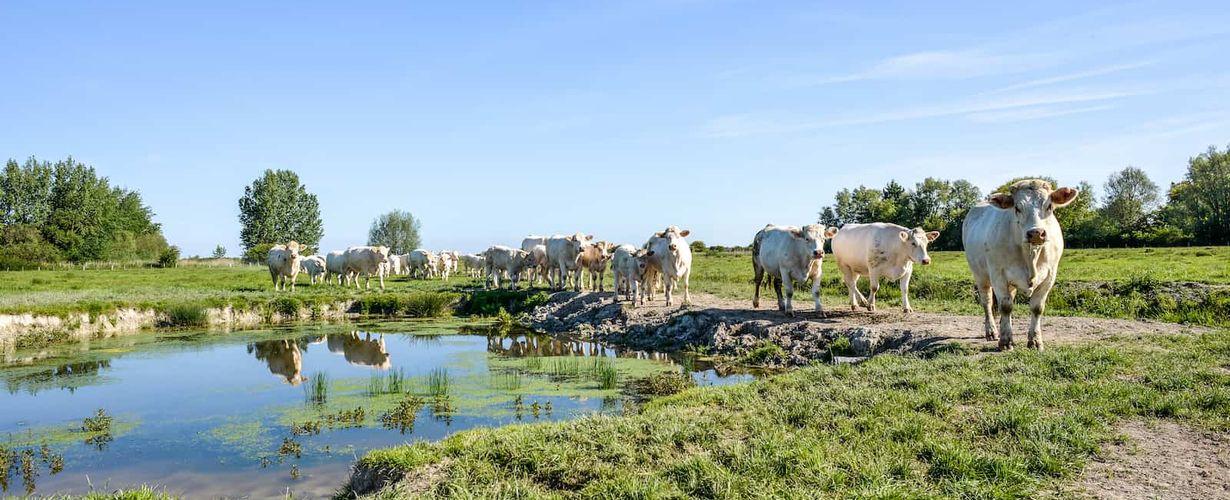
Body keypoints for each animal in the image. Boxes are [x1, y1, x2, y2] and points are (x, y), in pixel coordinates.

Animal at [963, 179, 1079, 351]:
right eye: (1017, 208)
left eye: (1049, 206)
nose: (1036, 233)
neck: (1030, 256)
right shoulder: (998, 274)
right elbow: (1005, 306)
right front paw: (1005, 341)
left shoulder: (1049, 276)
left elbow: (1037, 308)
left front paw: (1035, 341)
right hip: (980, 275)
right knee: (987, 302)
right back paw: (992, 331)